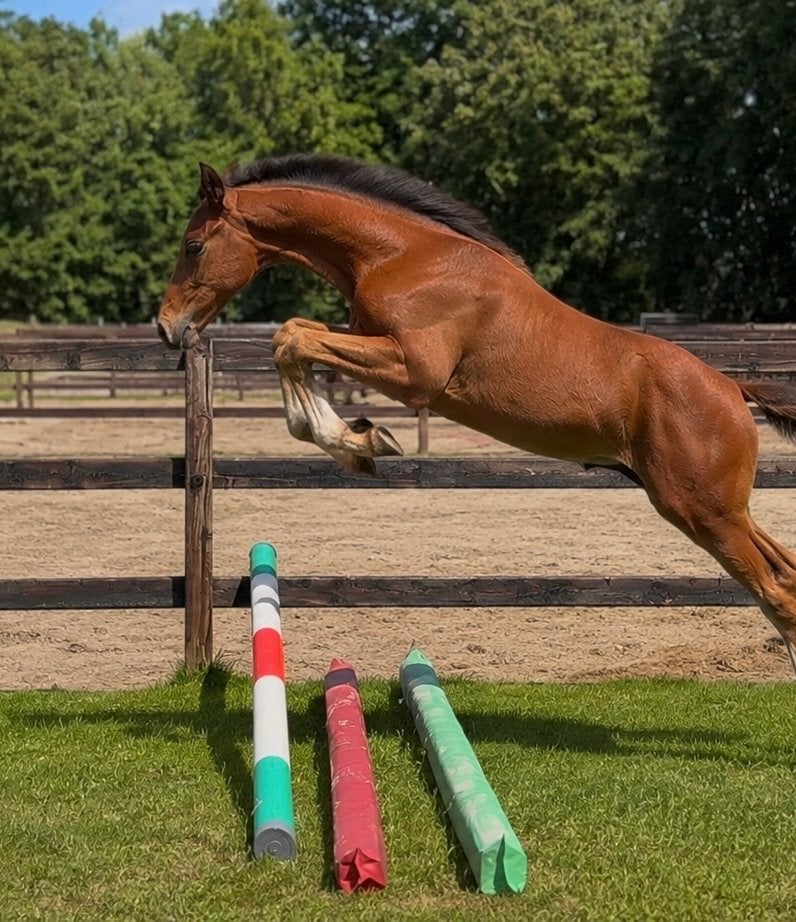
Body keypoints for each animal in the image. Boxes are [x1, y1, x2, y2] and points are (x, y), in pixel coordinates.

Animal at [157, 153, 796, 674]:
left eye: (193, 246)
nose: (168, 329)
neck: (404, 256)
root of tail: (731, 389)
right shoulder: (370, 345)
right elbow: (296, 338)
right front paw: (361, 439)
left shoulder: (414, 372)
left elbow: (290, 337)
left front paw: (361, 441)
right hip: (718, 509)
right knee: (785, 574)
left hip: (701, 510)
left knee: (778, 594)